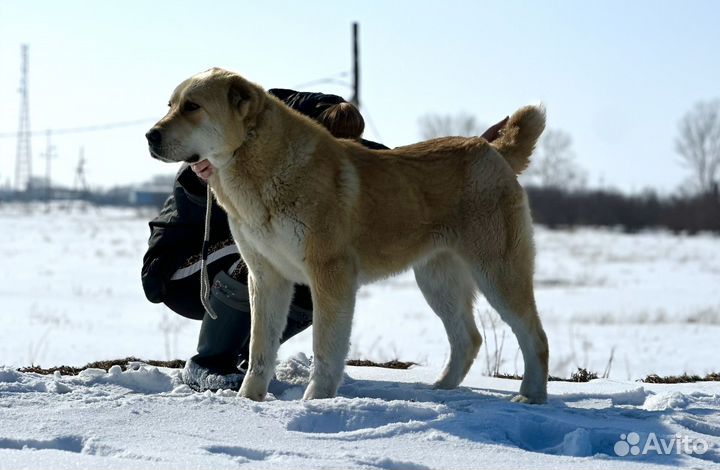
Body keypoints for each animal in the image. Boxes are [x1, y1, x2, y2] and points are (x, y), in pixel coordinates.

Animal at [146, 67, 552, 404]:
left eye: (193, 106)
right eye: (170, 105)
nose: (150, 134)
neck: (258, 163)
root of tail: (492, 149)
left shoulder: (330, 274)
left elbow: (326, 348)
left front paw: (315, 402)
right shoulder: (265, 277)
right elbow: (261, 348)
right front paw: (249, 401)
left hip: (497, 272)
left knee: (535, 336)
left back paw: (530, 396)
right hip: (437, 280)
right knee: (468, 338)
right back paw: (440, 391)